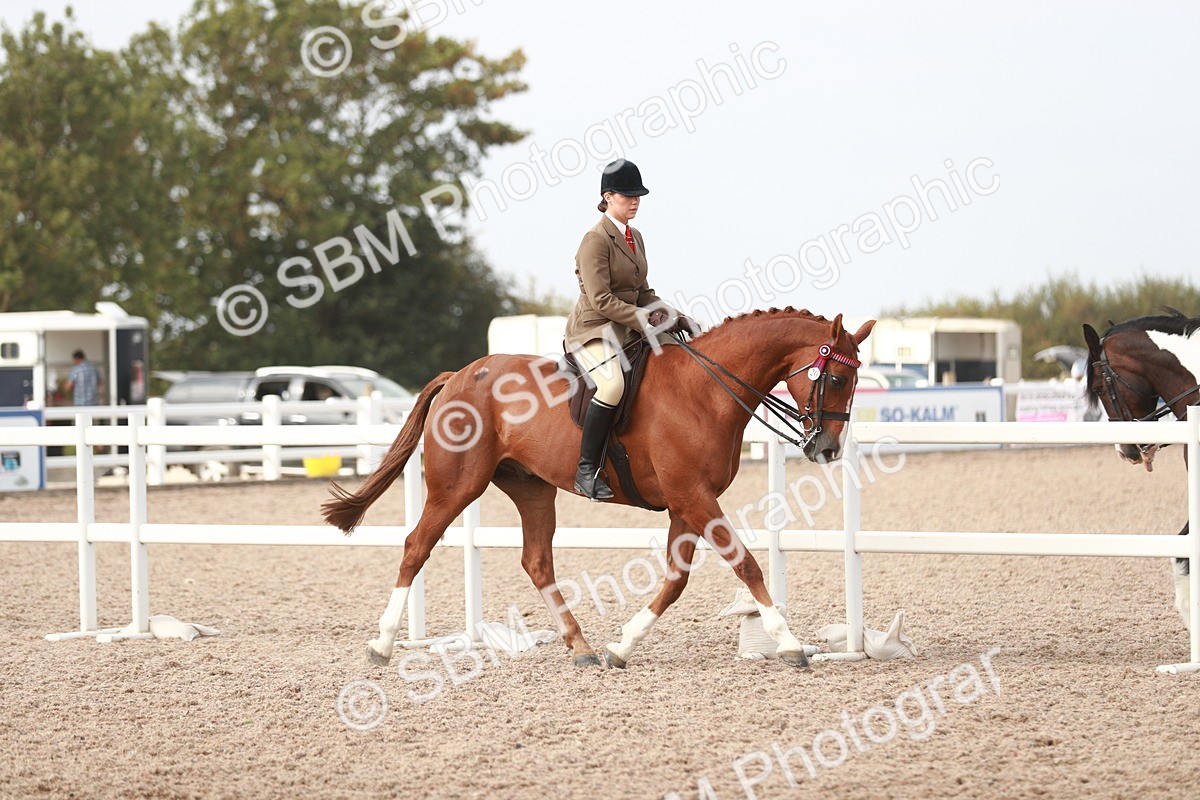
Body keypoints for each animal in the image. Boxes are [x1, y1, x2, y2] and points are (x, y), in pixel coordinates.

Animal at [323, 308, 875, 670]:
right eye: (836, 379)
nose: (828, 449)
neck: (705, 390)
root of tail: (460, 375)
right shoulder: (694, 497)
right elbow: (746, 564)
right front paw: (789, 643)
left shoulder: (685, 503)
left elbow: (676, 580)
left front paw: (621, 646)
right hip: (455, 487)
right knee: (416, 546)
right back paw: (382, 644)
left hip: (532, 490)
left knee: (536, 561)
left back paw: (582, 647)